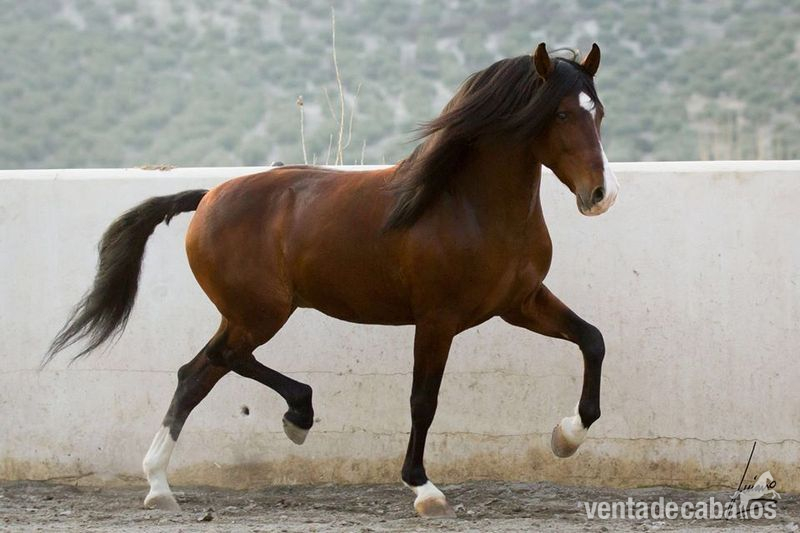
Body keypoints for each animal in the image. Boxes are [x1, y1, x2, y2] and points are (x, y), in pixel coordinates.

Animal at [44, 42, 618, 518]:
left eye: (599, 112)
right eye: (561, 113)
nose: (600, 195)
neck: (469, 206)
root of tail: (207, 197)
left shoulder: (520, 303)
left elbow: (592, 339)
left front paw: (566, 437)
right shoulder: (437, 320)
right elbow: (423, 400)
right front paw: (423, 489)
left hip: (243, 314)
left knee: (196, 374)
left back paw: (161, 487)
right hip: (261, 313)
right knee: (222, 360)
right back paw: (297, 415)